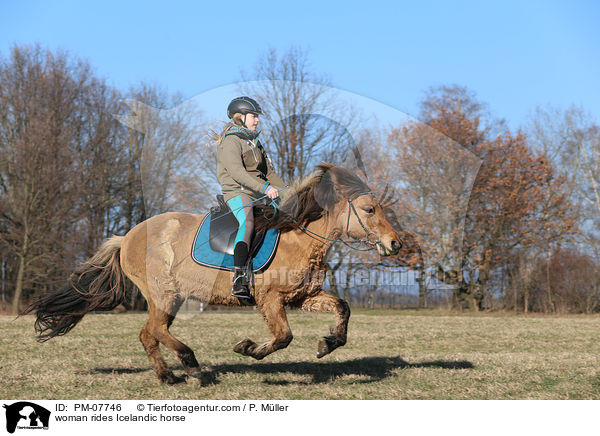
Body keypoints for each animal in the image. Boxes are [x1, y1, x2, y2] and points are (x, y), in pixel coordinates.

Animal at [23, 164, 400, 384]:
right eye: (369, 210)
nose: (395, 244)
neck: (299, 235)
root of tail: (126, 236)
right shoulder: (270, 299)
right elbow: (283, 337)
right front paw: (249, 349)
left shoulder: (303, 296)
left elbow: (342, 309)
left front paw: (327, 344)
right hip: (163, 293)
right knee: (155, 330)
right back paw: (189, 363)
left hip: (169, 297)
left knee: (149, 334)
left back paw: (168, 376)